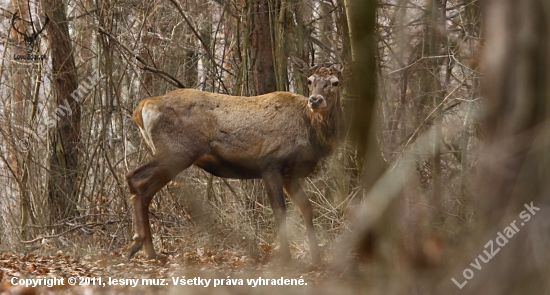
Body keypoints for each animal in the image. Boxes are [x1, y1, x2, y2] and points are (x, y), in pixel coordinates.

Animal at [127, 59, 344, 264]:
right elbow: (280, 211)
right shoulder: (271, 163)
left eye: (335, 82)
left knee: (146, 191)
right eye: (310, 81)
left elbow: (307, 208)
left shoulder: (290, 174)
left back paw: (149, 251)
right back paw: (137, 243)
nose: (315, 100)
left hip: (171, 155)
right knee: (134, 177)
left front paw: (316, 257)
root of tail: (141, 108)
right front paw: (286, 257)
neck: (310, 132)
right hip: (176, 152)